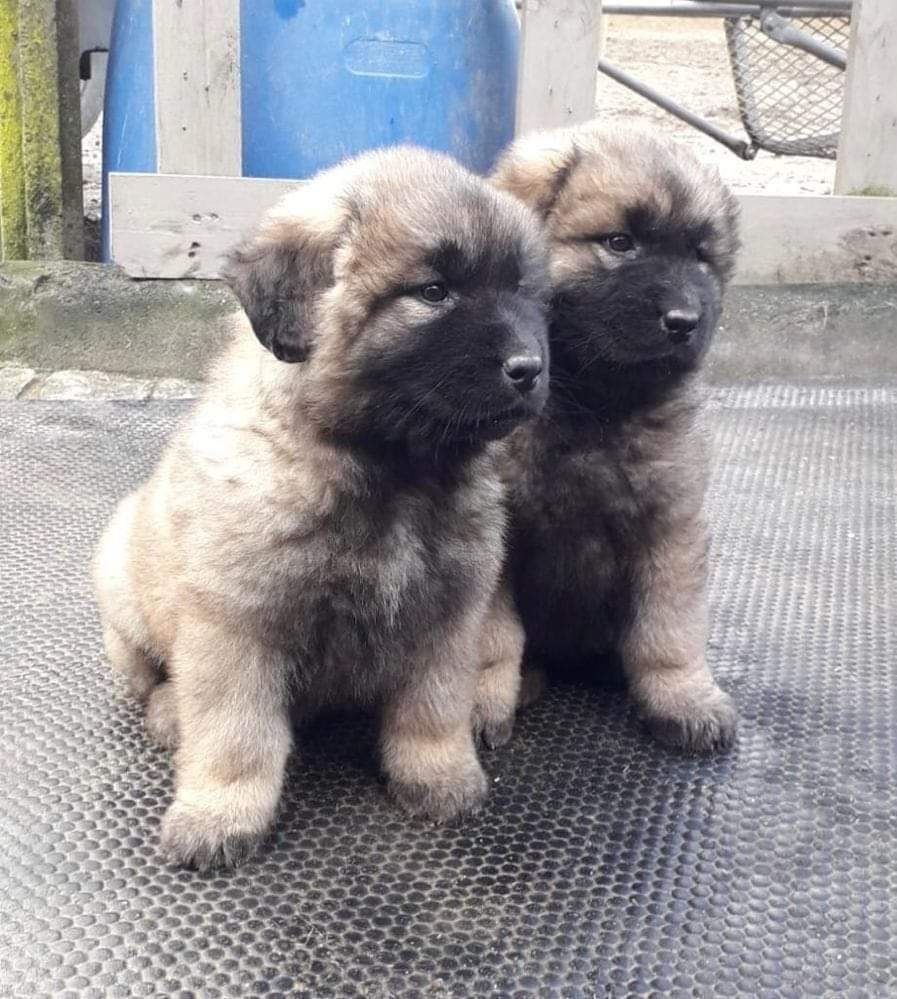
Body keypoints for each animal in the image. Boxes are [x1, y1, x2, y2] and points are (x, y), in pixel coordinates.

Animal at [94, 146, 548, 868]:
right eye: (433, 292)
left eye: (525, 292)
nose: (528, 368)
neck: (394, 472)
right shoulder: (236, 626)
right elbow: (234, 734)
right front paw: (219, 814)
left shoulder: (449, 613)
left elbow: (433, 707)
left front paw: (439, 775)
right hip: (120, 584)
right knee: (151, 678)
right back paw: (168, 711)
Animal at [490, 123, 744, 752]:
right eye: (619, 242)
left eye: (700, 256)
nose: (684, 321)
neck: (595, 403)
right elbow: (492, 638)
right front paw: (484, 702)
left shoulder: (670, 526)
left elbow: (669, 630)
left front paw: (683, 697)